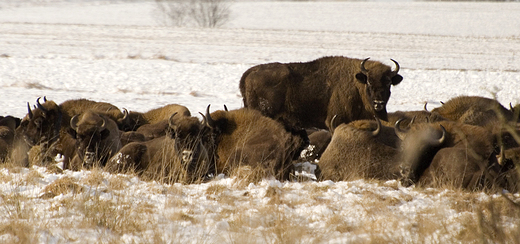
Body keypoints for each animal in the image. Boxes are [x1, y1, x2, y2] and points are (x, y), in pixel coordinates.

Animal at [239, 56, 402, 131]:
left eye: (388, 82)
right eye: (369, 82)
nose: (378, 103)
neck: (357, 84)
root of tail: (248, 73)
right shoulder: (334, 121)